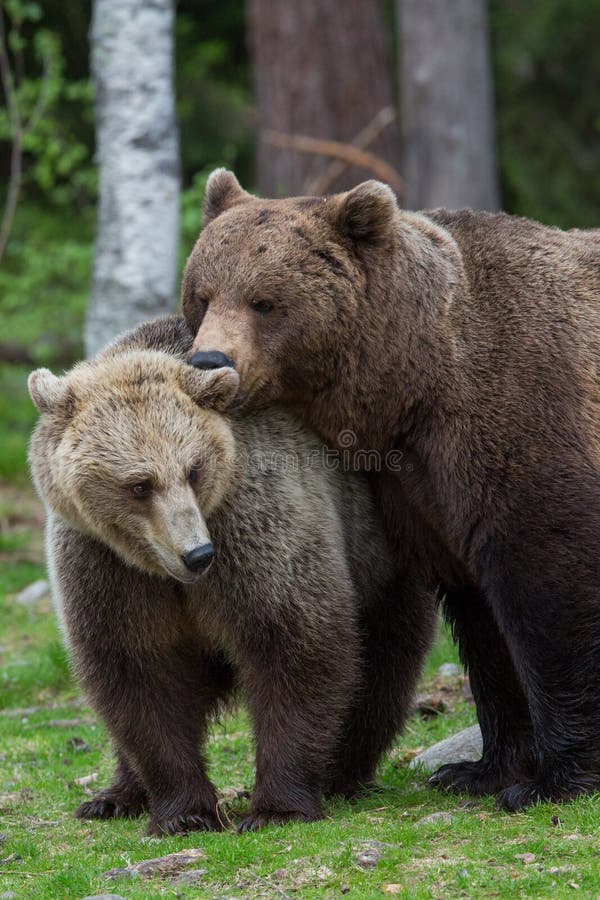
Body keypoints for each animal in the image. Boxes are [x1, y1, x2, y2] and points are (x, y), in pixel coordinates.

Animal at [29, 316, 436, 836]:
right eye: (140, 485)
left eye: (194, 469)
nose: (197, 554)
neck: (163, 571)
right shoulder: (104, 566)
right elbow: (136, 671)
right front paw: (183, 812)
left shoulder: (254, 528)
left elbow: (295, 644)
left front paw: (277, 807)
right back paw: (115, 796)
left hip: (379, 547)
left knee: (383, 660)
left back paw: (343, 771)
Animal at [184, 167, 600, 808]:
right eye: (202, 294)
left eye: (264, 301)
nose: (209, 359)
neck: (415, 386)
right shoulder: (421, 490)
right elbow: (481, 618)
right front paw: (481, 769)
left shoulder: (526, 413)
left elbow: (549, 590)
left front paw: (552, 780)